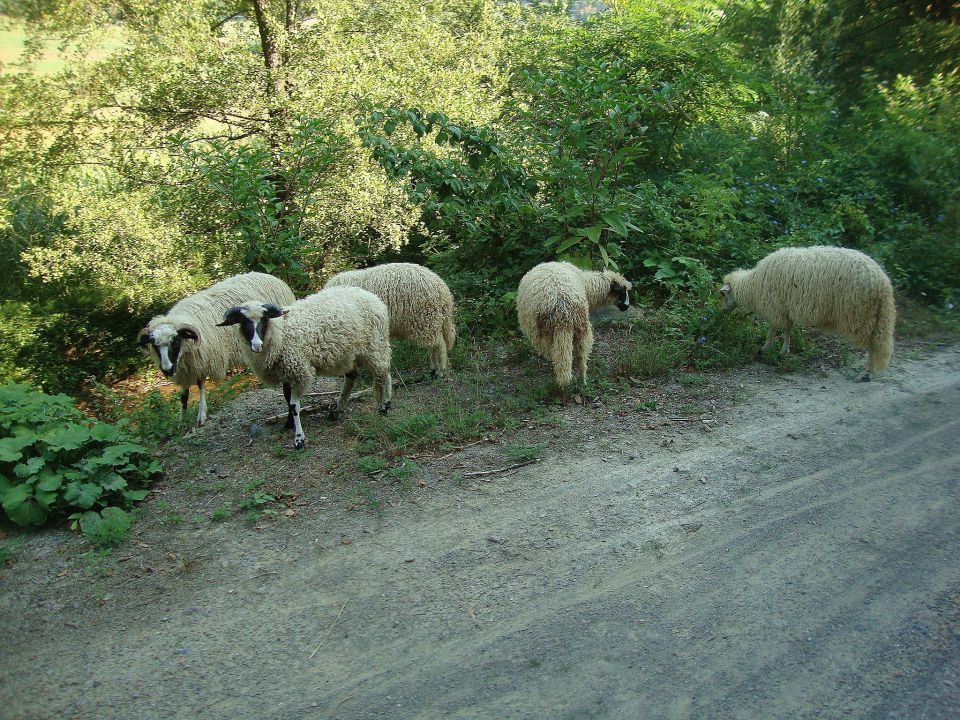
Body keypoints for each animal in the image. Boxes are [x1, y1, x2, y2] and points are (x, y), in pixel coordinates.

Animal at [138, 272, 296, 424]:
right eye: (154, 345)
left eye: (175, 341)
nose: (166, 370)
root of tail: (272, 277)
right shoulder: (186, 366)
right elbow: (184, 395)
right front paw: (181, 420)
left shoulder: (202, 360)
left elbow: (200, 385)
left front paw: (201, 415)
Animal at [218, 288, 394, 450]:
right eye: (242, 321)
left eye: (265, 318)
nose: (257, 345)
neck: (280, 332)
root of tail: (371, 296)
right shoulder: (286, 371)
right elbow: (287, 399)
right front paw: (288, 423)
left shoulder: (299, 370)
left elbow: (294, 405)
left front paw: (299, 438)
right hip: (348, 353)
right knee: (351, 377)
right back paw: (337, 410)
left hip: (375, 345)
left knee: (383, 372)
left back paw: (384, 406)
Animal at [322, 262, 458, 376]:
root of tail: (442, 289)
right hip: (431, 321)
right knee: (434, 344)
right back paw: (433, 369)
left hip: (424, 319)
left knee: (439, 345)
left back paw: (440, 371)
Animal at [512, 260, 632, 388]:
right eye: (622, 292)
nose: (627, 306)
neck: (588, 286)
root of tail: (563, 309)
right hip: (581, 328)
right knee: (581, 357)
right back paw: (582, 381)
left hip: (550, 333)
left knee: (559, 356)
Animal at [720, 245, 900, 374]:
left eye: (723, 295)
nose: (722, 312)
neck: (752, 285)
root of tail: (883, 281)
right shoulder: (785, 308)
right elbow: (788, 329)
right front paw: (784, 350)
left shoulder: (776, 307)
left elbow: (773, 328)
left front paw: (766, 347)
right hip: (871, 313)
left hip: (860, 313)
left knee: (872, 342)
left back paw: (868, 371)